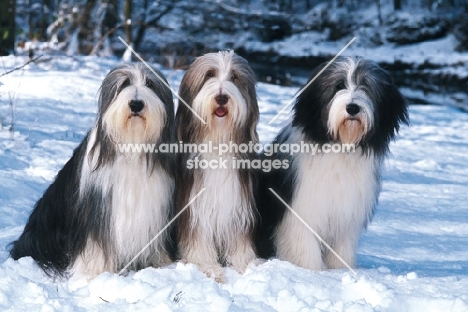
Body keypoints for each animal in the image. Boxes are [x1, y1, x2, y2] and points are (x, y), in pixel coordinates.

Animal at [10, 62, 176, 278]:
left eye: (150, 84)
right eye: (124, 84)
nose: (136, 104)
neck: (132, 144)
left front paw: (161, 263)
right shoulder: (97, 206)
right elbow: (95, 242)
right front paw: (93, 272)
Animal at [175, 51, 258, 282]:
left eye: (234, 77)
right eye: (209, 75)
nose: (222, 97)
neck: (217, 141)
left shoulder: (238, 204)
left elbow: (240, 240)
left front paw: (246, 265)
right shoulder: (195, 207)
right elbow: (198, 238)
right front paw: (209, 268)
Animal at [258, 56, 408, 270]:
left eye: (366, 86)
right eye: (339, 86)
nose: (352, 108)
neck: (340, 147)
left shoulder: (345, 215)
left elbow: (341, 251)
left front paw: (340, 271)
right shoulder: (303, 211)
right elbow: (306, 250)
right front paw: (313, 272)